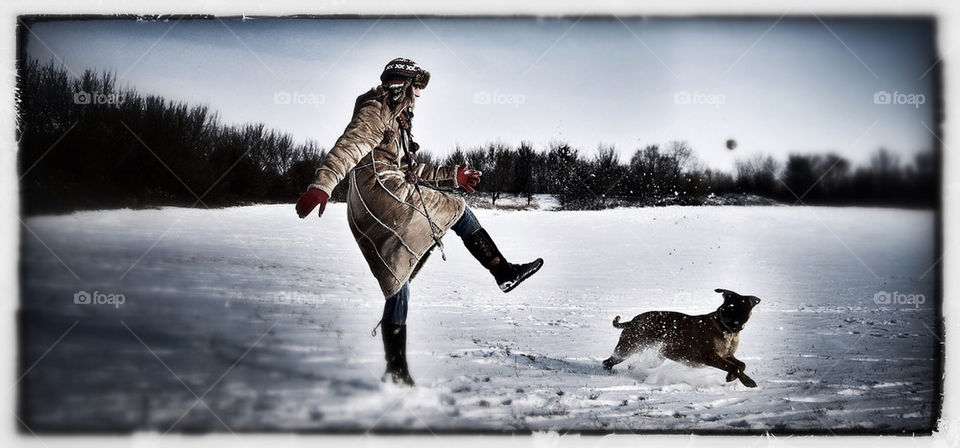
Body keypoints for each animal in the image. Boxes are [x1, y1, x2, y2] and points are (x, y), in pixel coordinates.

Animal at [604, 288, 760, 386]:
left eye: (741, 307)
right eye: (728, 306)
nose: (726, 316)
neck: (726, 330)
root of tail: (632, 320)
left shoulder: (727, 355)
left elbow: (741, 365)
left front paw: (731, 376)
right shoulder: (711, 357)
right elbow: (735, 367)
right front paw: (748, 382)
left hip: (655, 356)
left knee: (631, 365)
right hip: (627, 348)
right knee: (607, 362)